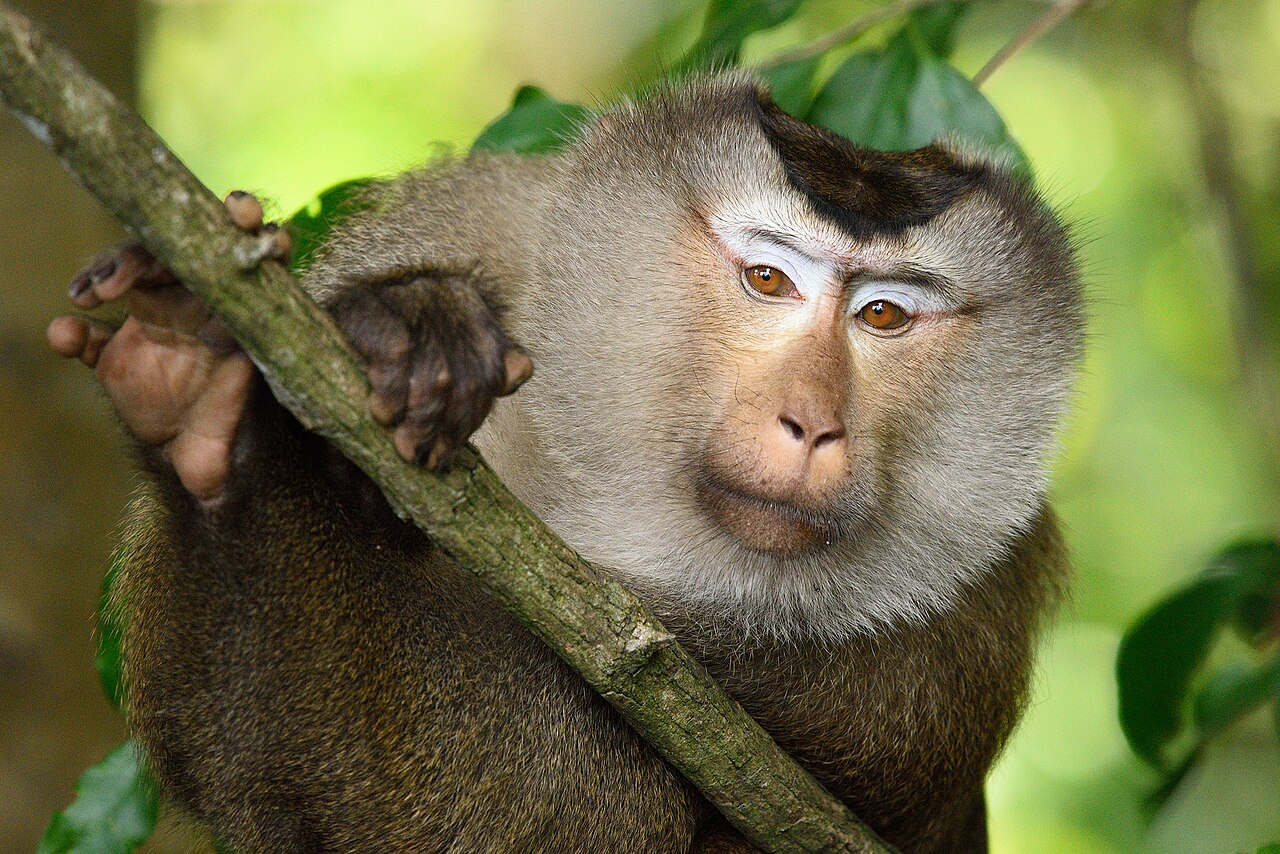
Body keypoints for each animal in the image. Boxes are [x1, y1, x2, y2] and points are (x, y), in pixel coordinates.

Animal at [47, 73, 1083, 853]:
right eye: (767, 278)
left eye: (884, 315)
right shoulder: (470, 219)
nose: (812, 421)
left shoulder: (995, 543)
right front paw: (389, 335)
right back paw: (197, 409)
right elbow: (275, 785)